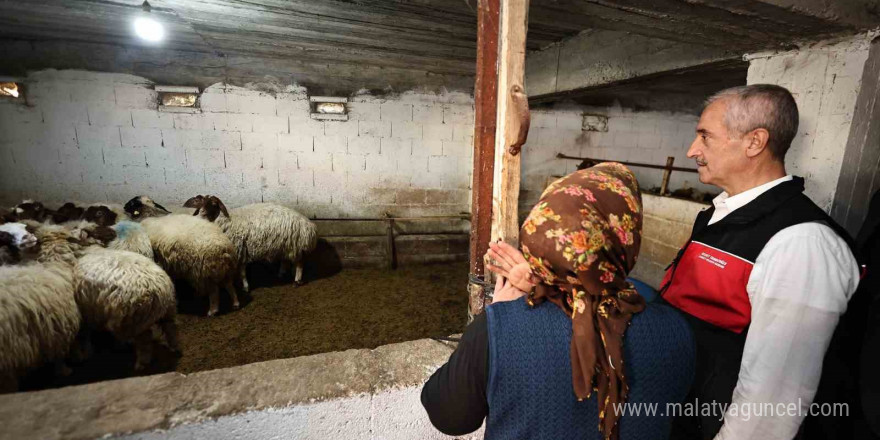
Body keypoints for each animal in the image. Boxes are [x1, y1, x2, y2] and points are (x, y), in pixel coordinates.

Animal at [0, 223, 84, 392]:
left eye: (26, 227)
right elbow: (59, 355)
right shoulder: (58, 327)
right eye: (4, 235)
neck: (53, 264)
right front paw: (65, 370)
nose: (28, 238)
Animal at [186, 195, 320, 292]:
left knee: (299, 264)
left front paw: (245, 287)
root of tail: (309, 225)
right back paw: (281, 273)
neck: (224, 221)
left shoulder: (240, 251)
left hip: (296, 245)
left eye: (214, 204)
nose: (202, 213)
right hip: (286, 245)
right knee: (286, 260)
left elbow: (242, 272)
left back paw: (297, 281)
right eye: (201, 203)